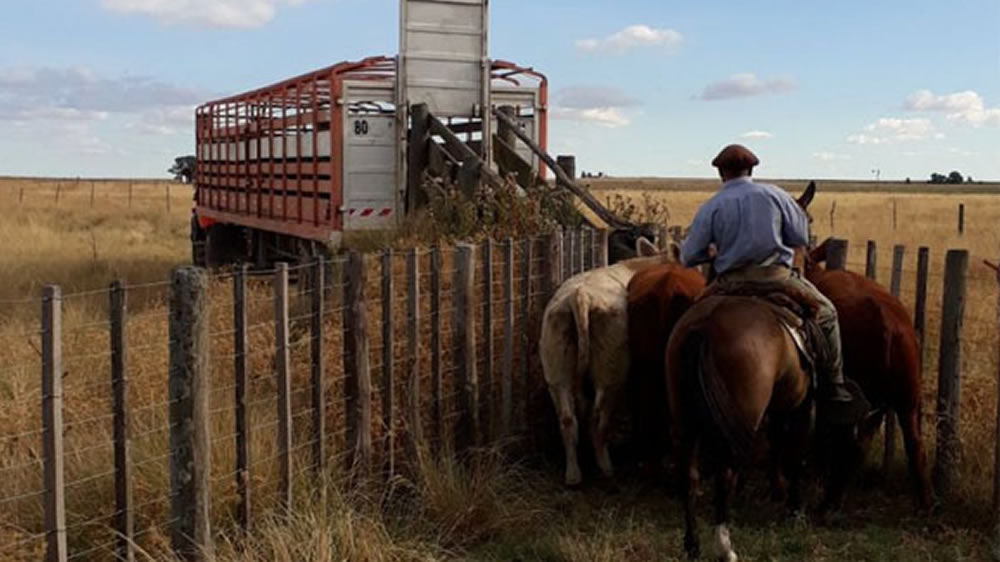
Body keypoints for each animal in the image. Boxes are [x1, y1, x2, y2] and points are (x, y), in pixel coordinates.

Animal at [540, 236, 680, 486]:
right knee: (599, 420)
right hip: (611, 374)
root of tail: (580, 295)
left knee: (567, 420)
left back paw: (573, 474)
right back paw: (606, 467)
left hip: (556, 371)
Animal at [800, 238, 932, 510]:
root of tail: (889, 322)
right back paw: (925, 505)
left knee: (850, 443)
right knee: (914, 446)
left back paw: (829, 502)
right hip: (907, 399)